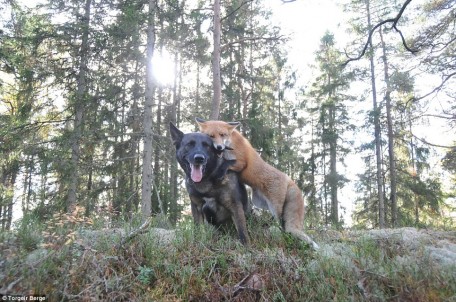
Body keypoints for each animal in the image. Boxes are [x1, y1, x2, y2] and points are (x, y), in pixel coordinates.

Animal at [195, 117, 318, 249]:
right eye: (211, 136)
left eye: (223, 135)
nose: (219, 147)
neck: (230, 144)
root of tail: (289, 179)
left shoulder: (241, 162)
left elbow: (227, 164)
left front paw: (219, 172)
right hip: (259, 202)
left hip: (275, 207)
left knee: (281, 222)